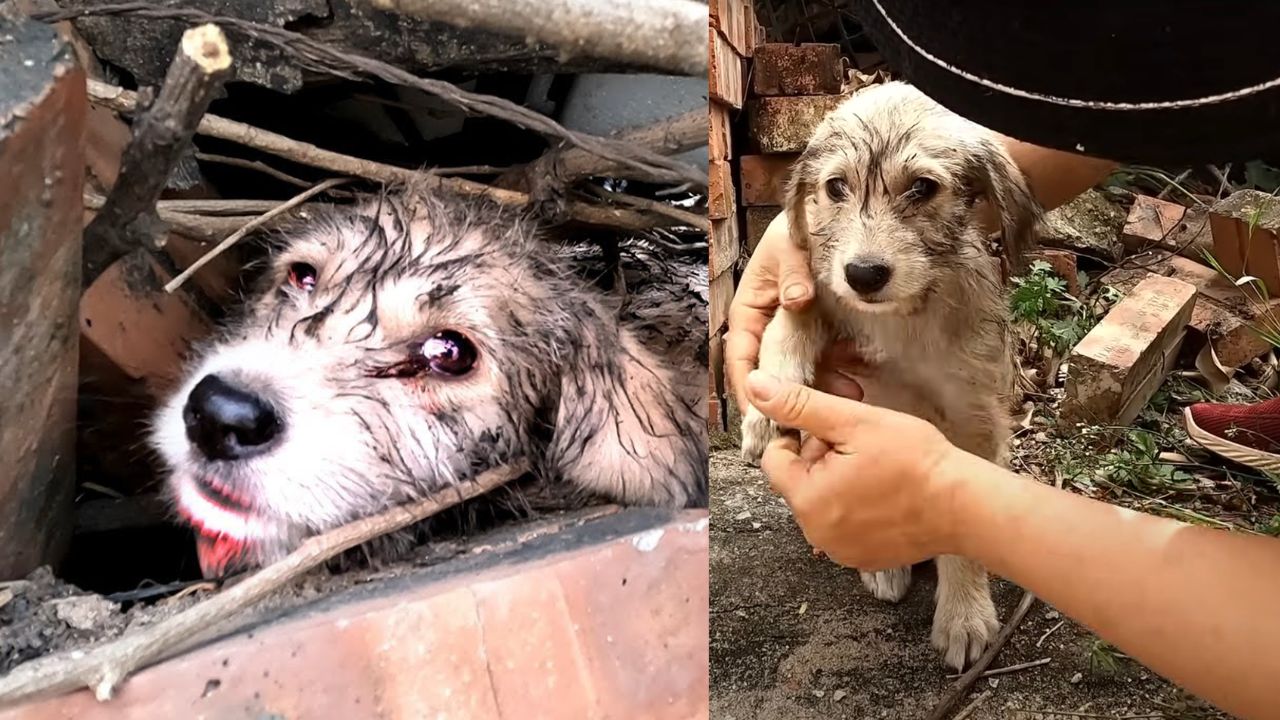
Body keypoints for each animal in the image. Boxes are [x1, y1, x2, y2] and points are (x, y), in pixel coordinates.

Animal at [742, 81, 1039, 671]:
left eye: (923, 188)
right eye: (836, 187)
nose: (863, 274)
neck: (902, 318)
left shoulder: (972, 416)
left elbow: (959, 522)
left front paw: (964, 614)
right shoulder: (818, 287)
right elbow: (791, 317)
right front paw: (766, 406)